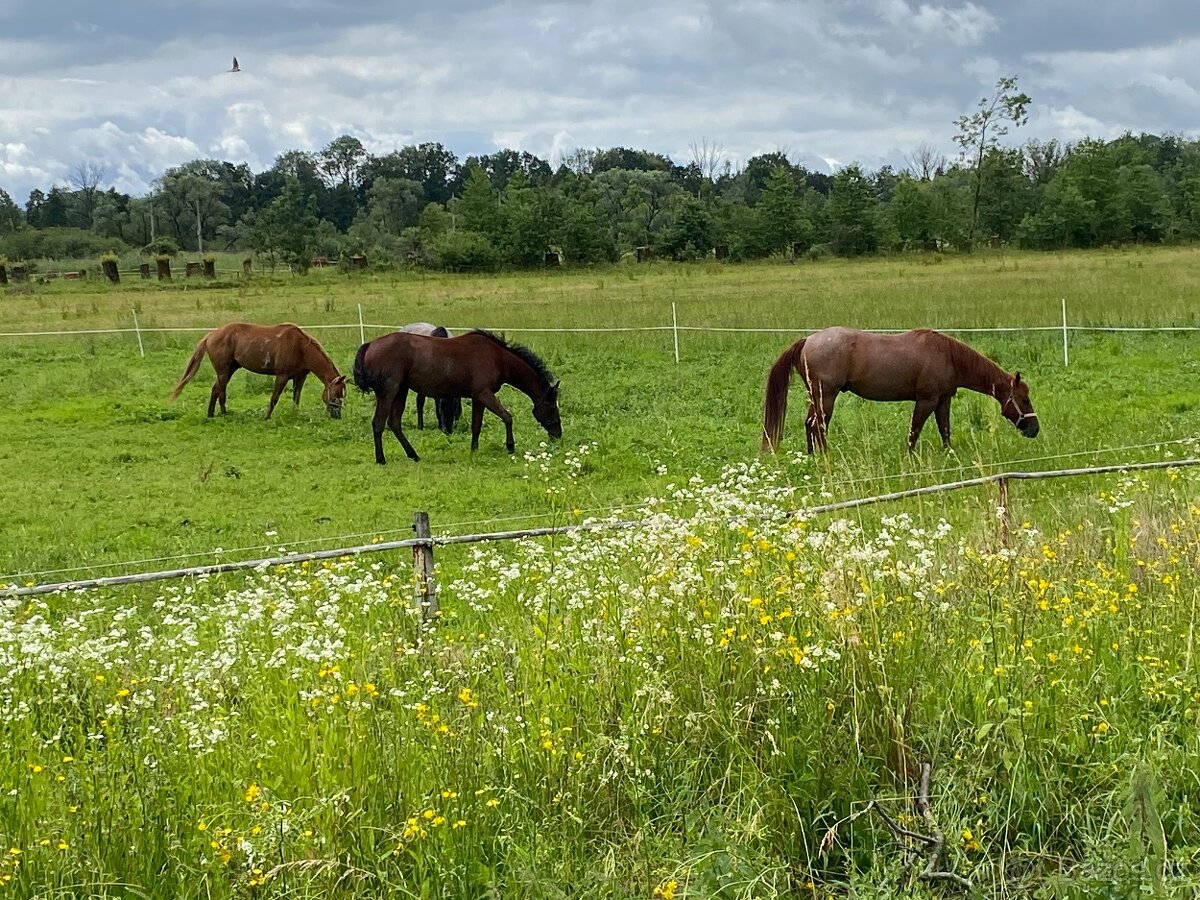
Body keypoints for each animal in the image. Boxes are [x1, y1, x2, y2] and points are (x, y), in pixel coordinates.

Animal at [168, 321, 348, 422]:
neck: (301, 347)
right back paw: (224, 415)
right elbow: (274, 398)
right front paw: (266, 418)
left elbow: (296, 398)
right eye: (335, 396)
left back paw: (211, 415)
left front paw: (295, 414)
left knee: (215, 390)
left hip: (230, 369)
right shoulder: (282, 376)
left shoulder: (300, 377)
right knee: (221, 392)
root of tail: (211, 335)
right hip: (223, 371)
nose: (337, 416)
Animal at [352, 328, 564, 465]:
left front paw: (474, 450)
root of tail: (370, 345)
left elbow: (476, 425)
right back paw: (381, 459)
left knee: (394, 423)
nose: (558, 434)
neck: (498, 358)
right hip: (388, 392)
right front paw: (510, 447)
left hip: (401, 391)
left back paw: (413, 455)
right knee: (379, 423)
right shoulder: (484, 394)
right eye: (552, 407)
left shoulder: (478, 398)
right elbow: (507, 417)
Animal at [763, 328, 1036, 453]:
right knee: (818, 425)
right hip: (826, 397)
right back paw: (825, 456)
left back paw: (812, 457)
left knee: (810, 424)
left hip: (816, 397)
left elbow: (944, 429)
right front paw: (910, 457)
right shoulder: (926, 400)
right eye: (1024, 399)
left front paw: (948, 453)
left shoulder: (943, 400)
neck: (948, 356)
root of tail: (808, 340)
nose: (1035, 429)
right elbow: (914, 431)